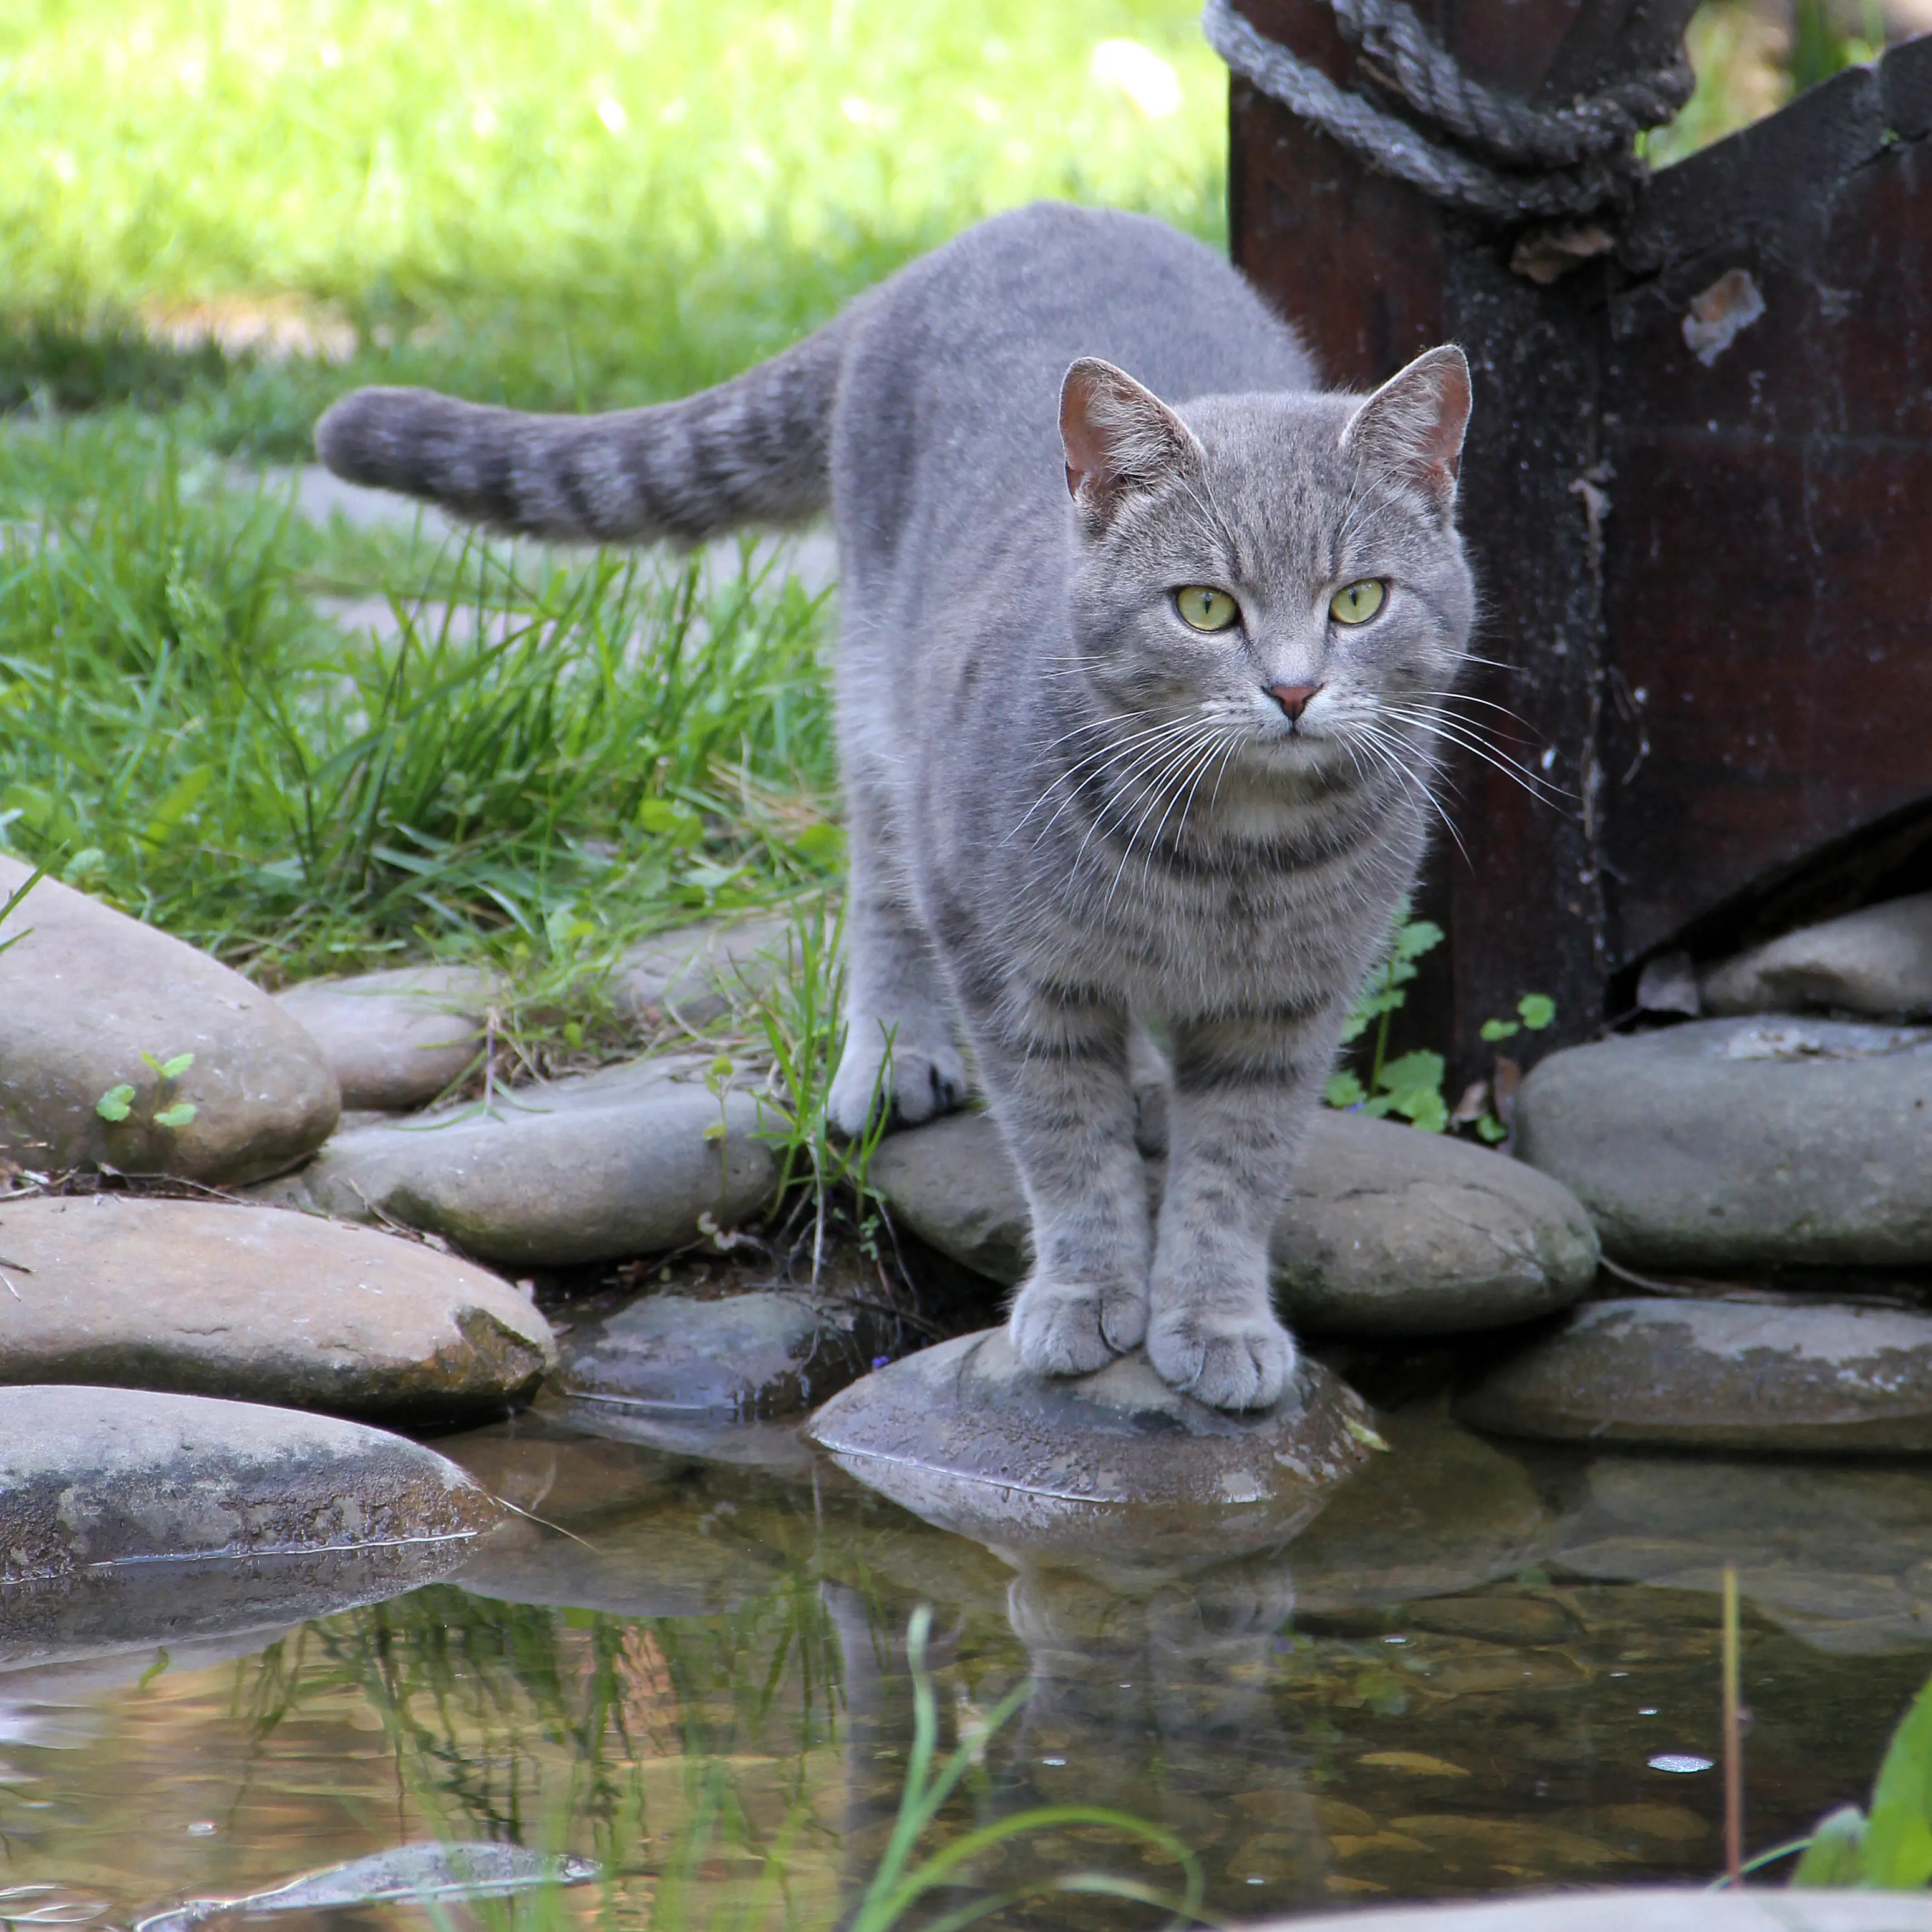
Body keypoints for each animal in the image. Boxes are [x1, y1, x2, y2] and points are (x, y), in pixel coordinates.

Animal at [316, 200, 1468, 1406]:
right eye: (1204, 607)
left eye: (1358, 600)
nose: (1292, 689)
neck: (1226, 856)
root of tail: (961, 244)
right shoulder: (1006, 960)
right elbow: (1063, 1138)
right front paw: (1085, 1290)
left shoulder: (1291, 1003)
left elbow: (1237, 1165)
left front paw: (1214, 1313)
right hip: (880, 711)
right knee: (878, 884)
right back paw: (893, 1054)